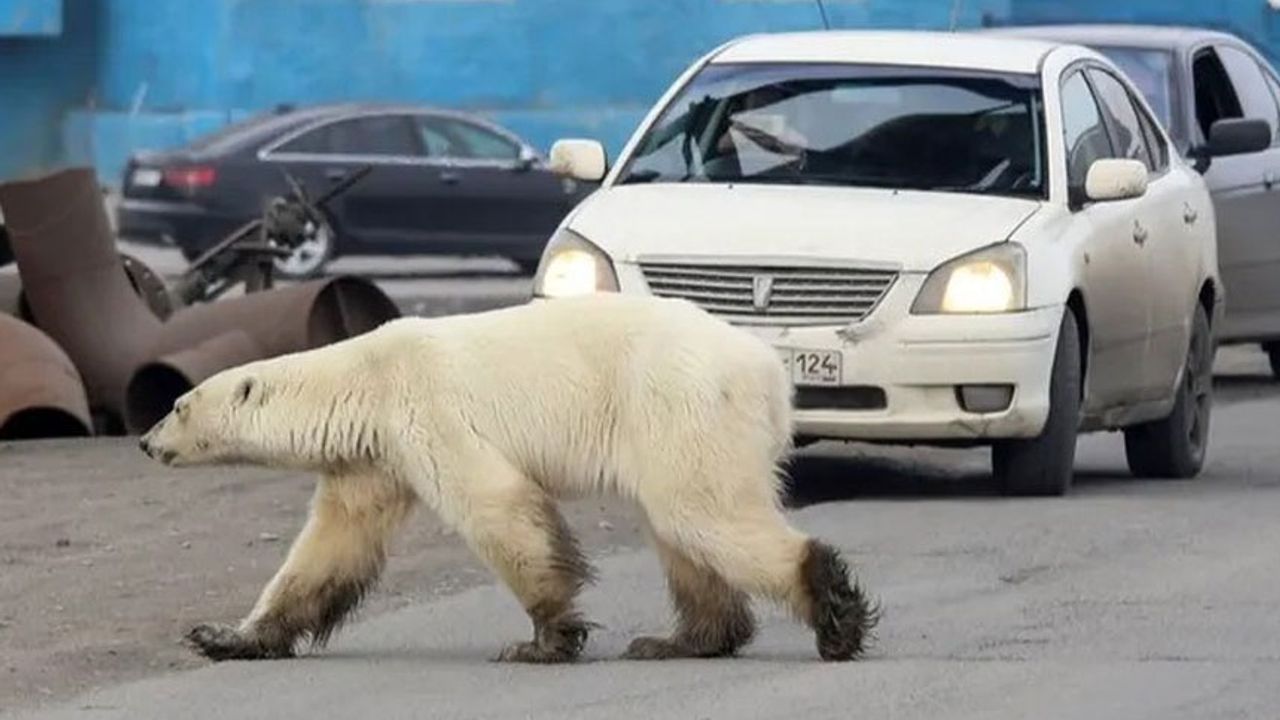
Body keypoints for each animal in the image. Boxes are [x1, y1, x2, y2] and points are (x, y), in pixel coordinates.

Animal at [142, 292, 880, 661]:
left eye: (178, 404)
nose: (146, 442)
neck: (365, 378)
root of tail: (768, 369)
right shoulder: (373, 459)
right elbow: (330, 547)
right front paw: (225, 637)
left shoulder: (426, 409)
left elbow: (498, 506)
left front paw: (545, 640)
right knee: (682, 533)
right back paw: (679, 641)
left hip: (678, 403)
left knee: (702, 513)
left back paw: (835, 618)